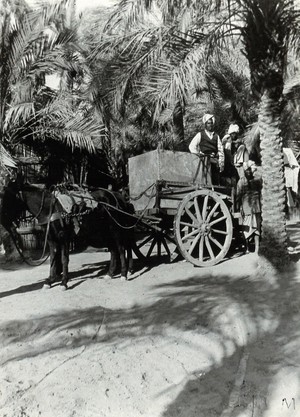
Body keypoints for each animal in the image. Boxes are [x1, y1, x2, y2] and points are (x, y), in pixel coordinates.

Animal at [1, 180, 135, 288]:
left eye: (8, 198)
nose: (4, 222)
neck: (50, 209)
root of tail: (119, 197)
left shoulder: (63, 237)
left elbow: (64, 259)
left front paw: (64, 282)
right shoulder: (51, 239)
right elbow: (53, 259)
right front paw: (50, 280)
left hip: (115, 230)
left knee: (121, 249)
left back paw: (124, 274)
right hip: (104, 233)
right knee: (113, 250)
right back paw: (110, 273)